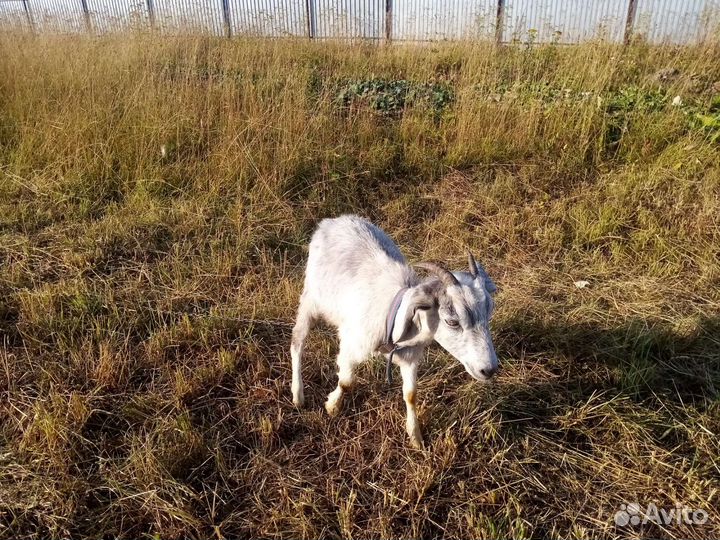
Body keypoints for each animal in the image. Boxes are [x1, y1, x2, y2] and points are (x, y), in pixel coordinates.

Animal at [290, 214, 498, 448]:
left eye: (489, 312)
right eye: (452, 321)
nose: (489, 370)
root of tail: (334, 221)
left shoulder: (409, 358)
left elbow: (411, 394)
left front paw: (416, 438)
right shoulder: (351, 345)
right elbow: (346, 381)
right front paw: (332, 406)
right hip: (310, 300)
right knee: (297, 341)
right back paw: (298, 396)